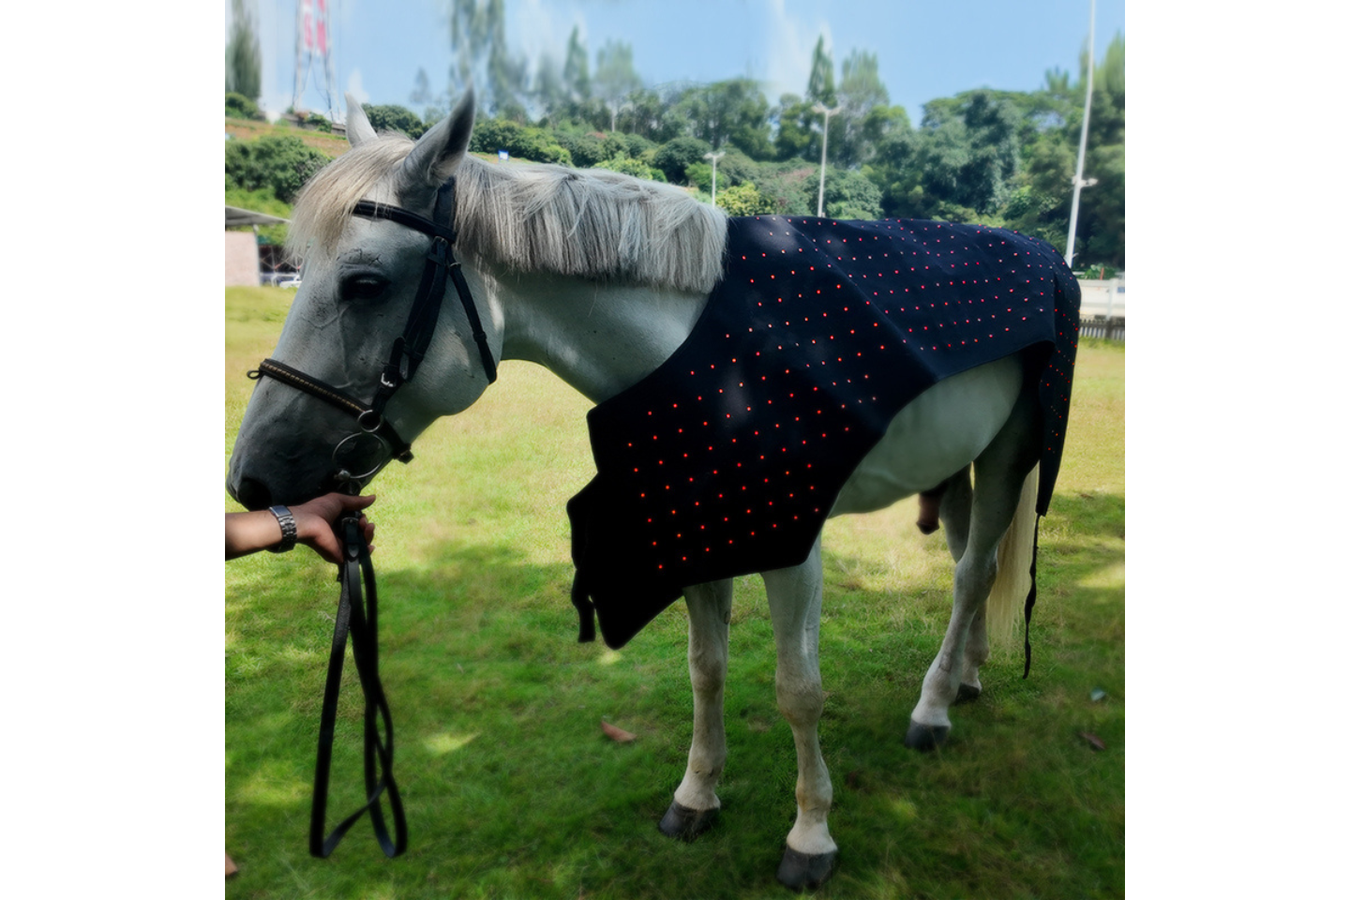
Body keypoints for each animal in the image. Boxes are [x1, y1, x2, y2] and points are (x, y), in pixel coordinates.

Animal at [227, 90, 1079, 891]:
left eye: (365, 283)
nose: (252, 478)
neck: (708, 358)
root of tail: (1044, 255)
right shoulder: (697, 525)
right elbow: (707, 669)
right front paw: (697, 796)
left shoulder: (791, 545)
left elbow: (798, 689)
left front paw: (811, 834)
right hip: (960, 462)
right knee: (977, 566)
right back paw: (965, 675)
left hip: (1011, 454)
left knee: (971, 575)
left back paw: (932, 707)